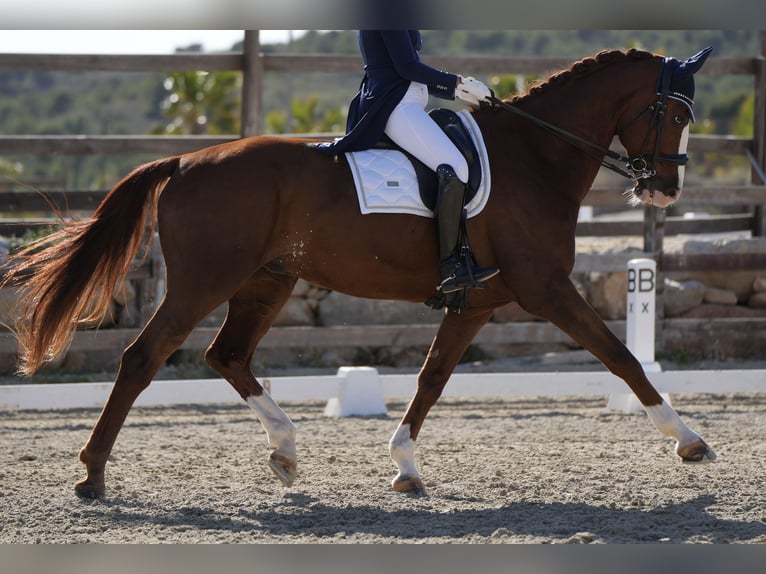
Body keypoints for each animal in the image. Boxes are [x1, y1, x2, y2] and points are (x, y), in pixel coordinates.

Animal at [4, 47, 717, 500]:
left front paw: (405, 468)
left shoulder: (477, 301)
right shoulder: (546, 290)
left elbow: (432, 379)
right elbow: (621, 356)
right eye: (678, 114)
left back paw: (286, 452)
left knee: (225, 354)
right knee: (142, 358)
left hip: (268, 280)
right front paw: (689, 441)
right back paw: (93, 475)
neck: (536, 156)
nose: (665, 192)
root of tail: (184, 161)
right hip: (205, 281)